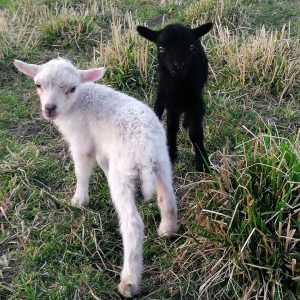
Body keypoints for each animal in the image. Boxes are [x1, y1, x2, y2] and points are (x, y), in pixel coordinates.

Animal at [13, 58, 178, 298]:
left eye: (72, 88)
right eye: (38, 85)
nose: (49, 109)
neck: (79, 101)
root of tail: (145, 148)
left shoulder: (82, 143)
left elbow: (81, 171)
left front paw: (78, 200)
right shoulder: (100, 147)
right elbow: (101, 162)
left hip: (124, 172)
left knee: (133, 224)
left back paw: (129, 281)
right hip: (162, 162)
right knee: (168, 200)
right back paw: (167, 230)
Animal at [137, 21, 212, 171]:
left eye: (191, 47)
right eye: (161, 48)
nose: (178, 67)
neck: (179, 89)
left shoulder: (196, 104)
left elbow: (195, 134)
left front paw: (202, 162)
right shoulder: (171, 105)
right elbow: (171, 128)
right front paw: (171, 153)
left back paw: (186, 123)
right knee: (159, 103)